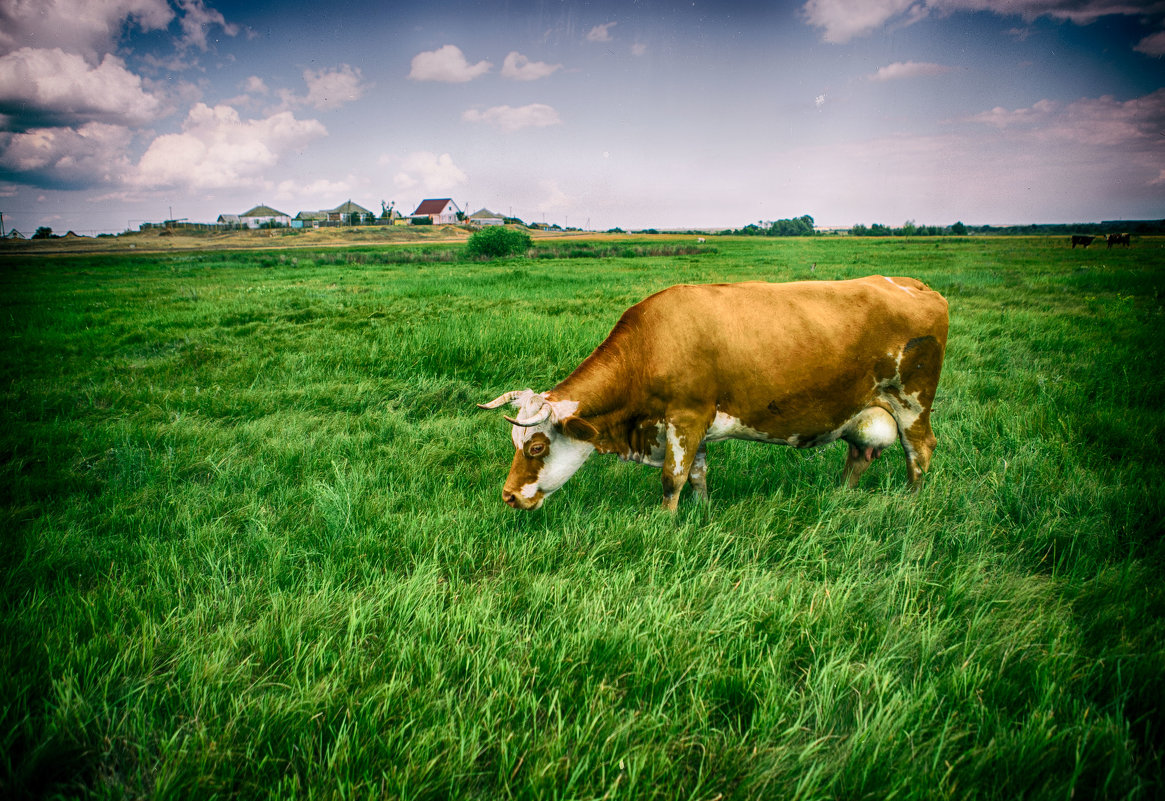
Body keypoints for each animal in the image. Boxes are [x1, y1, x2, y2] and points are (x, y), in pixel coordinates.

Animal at [477, 278, 950, 509]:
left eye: (537, 447)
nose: (508, 495)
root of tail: (916, 284)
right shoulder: (691, 426)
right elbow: (698, 474)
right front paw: (702, 514)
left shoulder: (686, 416)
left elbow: (672, 479)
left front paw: (664, 524)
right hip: (863, 408)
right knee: (859, 454)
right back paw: (840, 496)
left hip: (912, 401)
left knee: (920, 450)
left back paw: (910, 504)